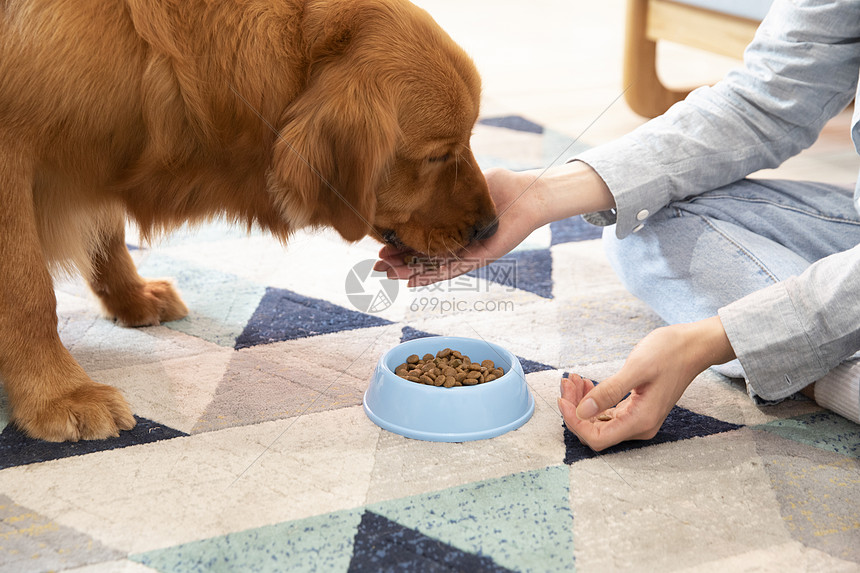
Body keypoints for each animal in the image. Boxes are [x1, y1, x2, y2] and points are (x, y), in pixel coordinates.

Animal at [0, 0, 498, 442]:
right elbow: (28, 293)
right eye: (437, 155)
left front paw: (131, 295)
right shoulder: (12, 158)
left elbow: (108, 236)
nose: (492, 227)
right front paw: (59, 393)